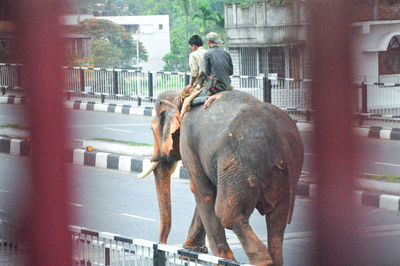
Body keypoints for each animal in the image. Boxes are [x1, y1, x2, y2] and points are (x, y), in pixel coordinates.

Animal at [138, 90, 304, 266]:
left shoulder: (188, 145)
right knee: (278, 217)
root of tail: (281, 140)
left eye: (151, 129)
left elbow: (200, 191)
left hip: (238, 164)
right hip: (285, 172)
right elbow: (210, 192)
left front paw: (218, 259)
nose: (161, 244)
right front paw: (190, 253)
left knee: (227, 213)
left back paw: (261, 261)